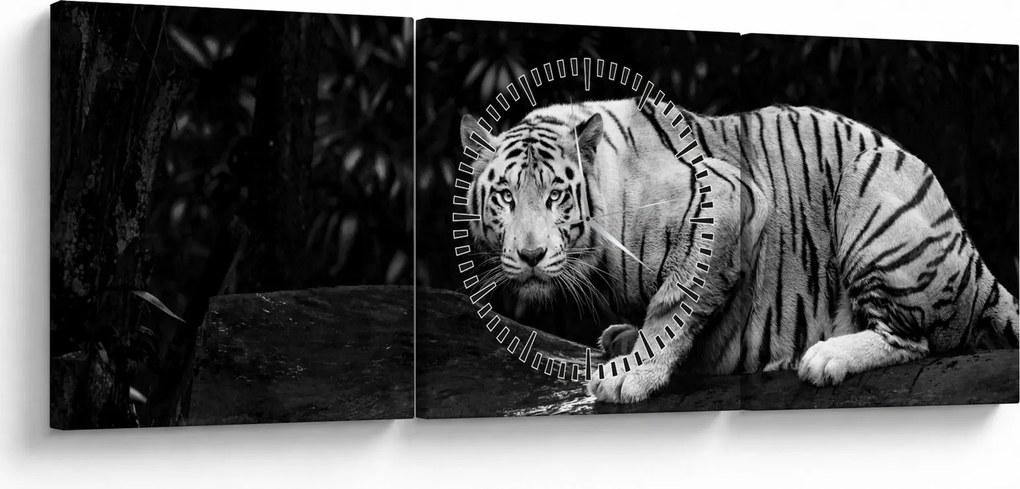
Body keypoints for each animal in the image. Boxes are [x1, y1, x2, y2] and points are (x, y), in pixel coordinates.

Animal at [460, 98, 1019, 404]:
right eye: (505, 196)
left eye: (556, 195)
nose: (531, 255)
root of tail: (976, 263)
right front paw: (626, 343)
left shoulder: (728, 200)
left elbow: (674, 306)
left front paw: (633, 375)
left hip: (870, 190)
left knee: (914, 339)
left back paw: (825, 357)